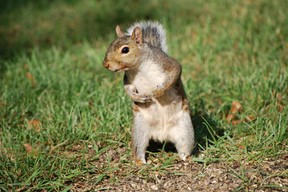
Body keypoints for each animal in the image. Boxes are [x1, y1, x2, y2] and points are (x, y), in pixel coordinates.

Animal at [102, 21, 195, 165]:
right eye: (109, 45)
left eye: (125, 50)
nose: (105, 64)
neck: (138, 68)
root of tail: (162, 135)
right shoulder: (128, 78)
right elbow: (127, 89)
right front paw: (137, 97)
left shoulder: (168, 64)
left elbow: (174, 73)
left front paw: (157, 91)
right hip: (140, 130)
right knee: (139, 148)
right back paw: (141, 163)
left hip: (185, 130)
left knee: (184, 147)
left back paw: (186, 158)